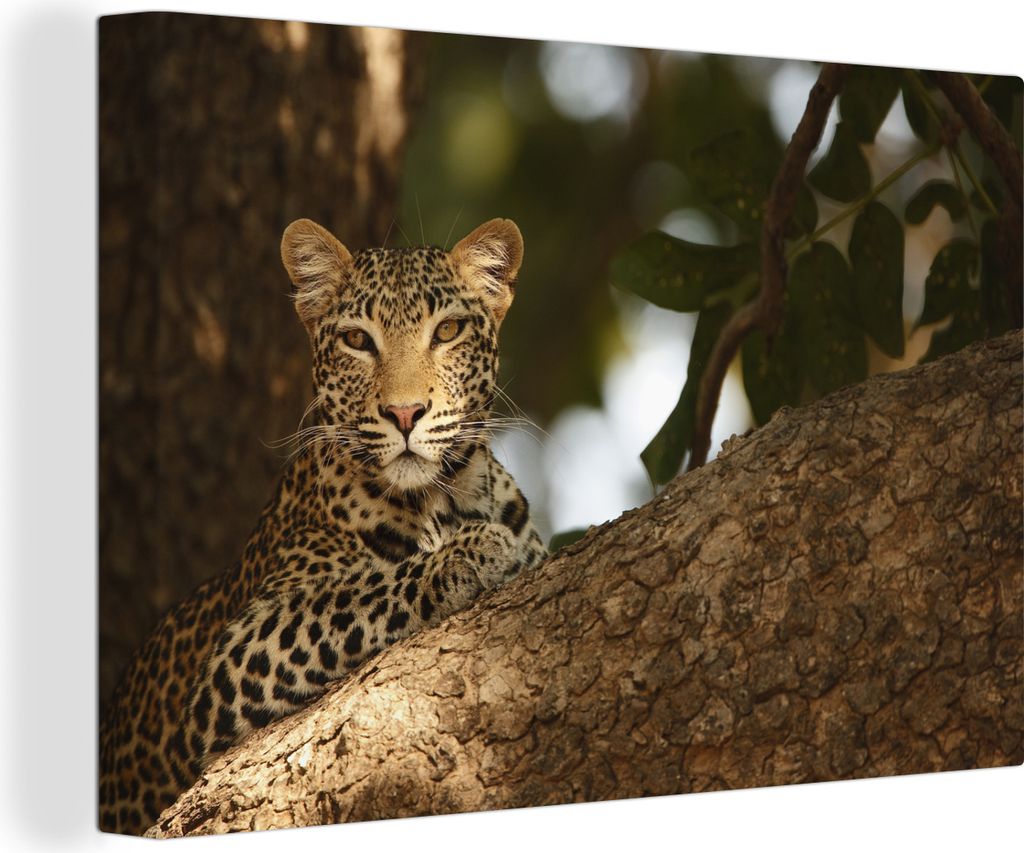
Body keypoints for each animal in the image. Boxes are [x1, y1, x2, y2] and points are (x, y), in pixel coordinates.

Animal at [99, 217, 547, 835]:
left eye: (448, 331)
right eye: (357, 340)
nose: (405, 414)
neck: (442, 501)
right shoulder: (236, 658)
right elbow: (356, 592)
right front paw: (470, 554)